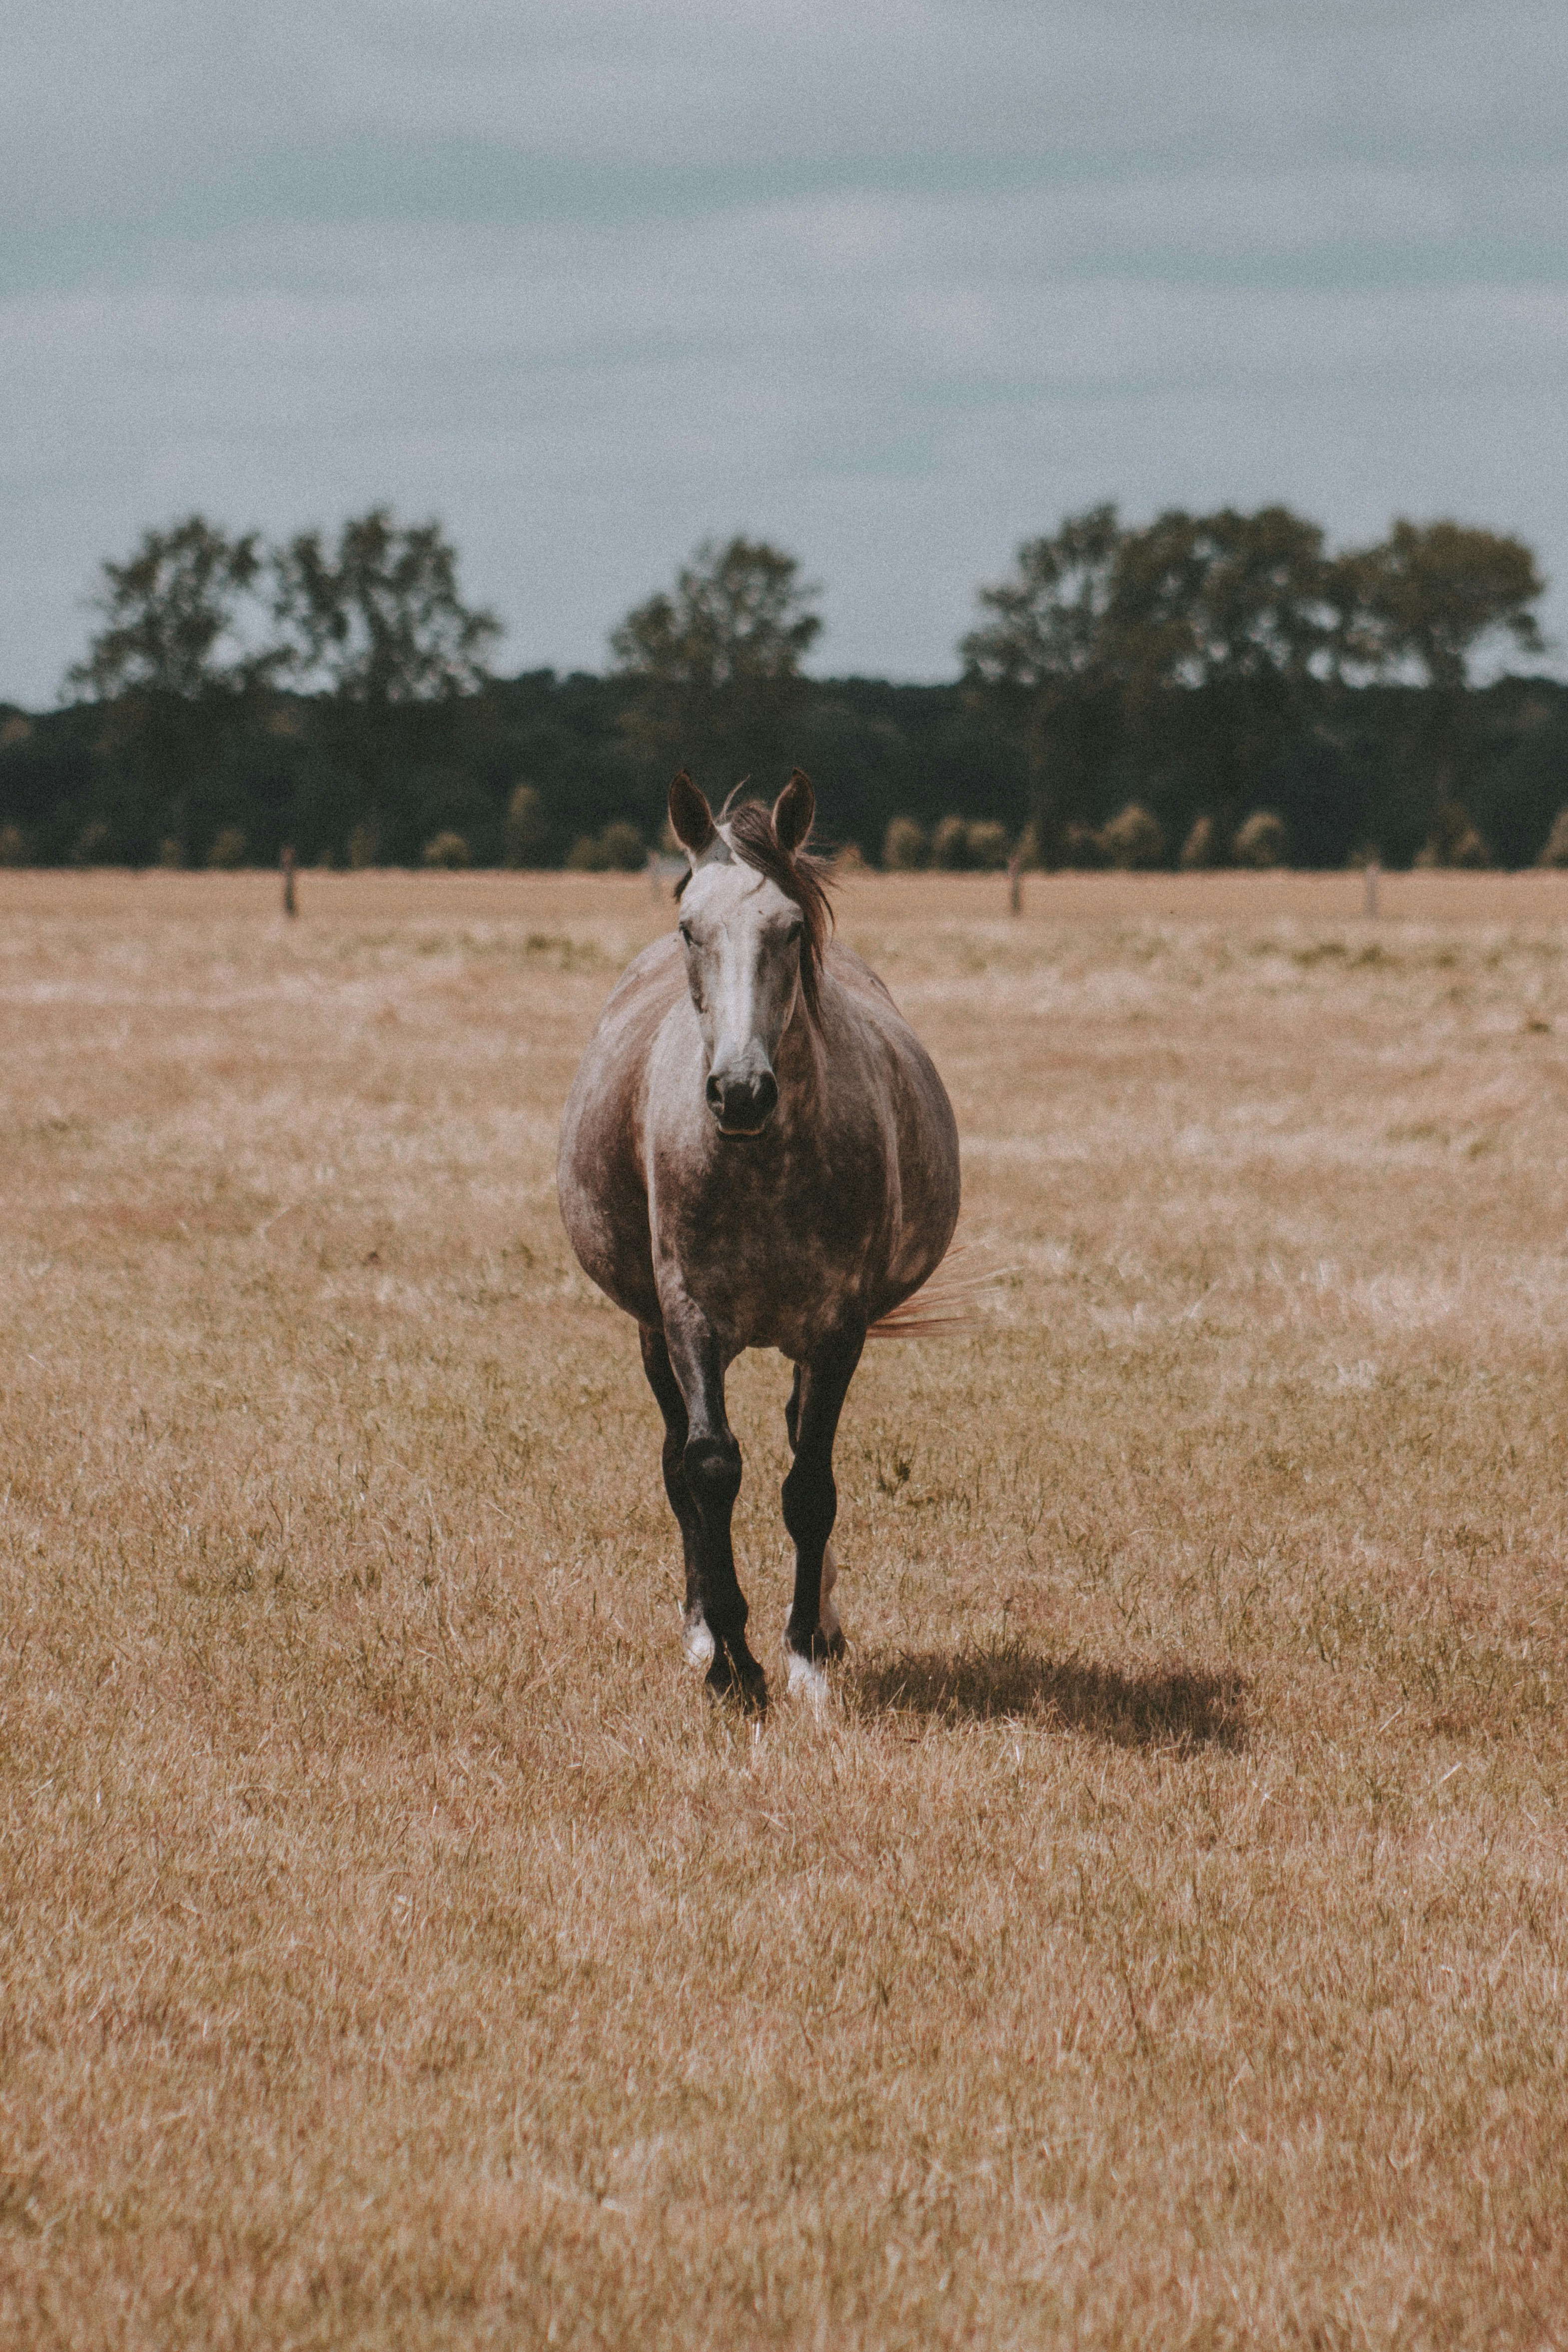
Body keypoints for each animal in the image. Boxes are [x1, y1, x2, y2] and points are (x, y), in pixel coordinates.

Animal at [557, 768, 960, 1709]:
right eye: (688, 926)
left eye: (790, 928)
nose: (739, 1092)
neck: (763, 1164)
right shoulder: (687, 1315)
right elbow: (707, 1467)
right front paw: (733, 1664)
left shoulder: (839, 1324)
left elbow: (809, 1482)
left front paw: (804, 1648)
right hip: (649, 1331)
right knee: (677, 1462)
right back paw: (702, 1627)